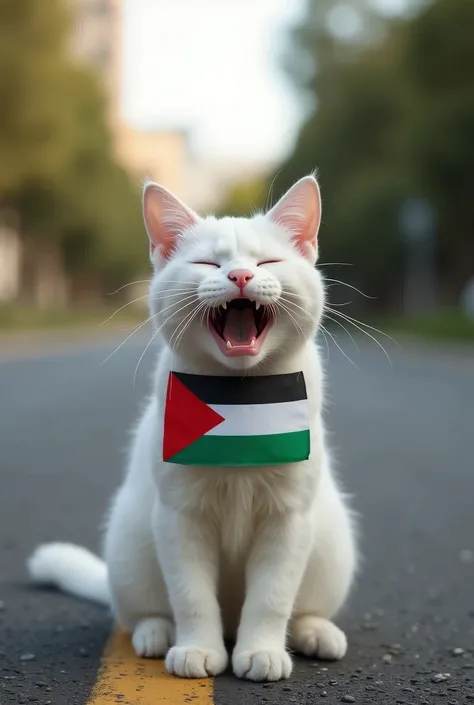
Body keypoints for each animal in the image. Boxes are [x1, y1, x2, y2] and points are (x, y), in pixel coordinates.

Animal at [27, 176, 356, 680]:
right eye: (208, 264)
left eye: (266, 262)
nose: (239, 277)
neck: (239, 404)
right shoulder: (180, 516)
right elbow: (191, 596)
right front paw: (198, 649)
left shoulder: (288, 519)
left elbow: (272, 598)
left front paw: (262, 651)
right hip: (130, 542)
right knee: (142, 611)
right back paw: (156, 635)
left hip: (331, 546)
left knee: (300, 609)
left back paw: (315, 633)